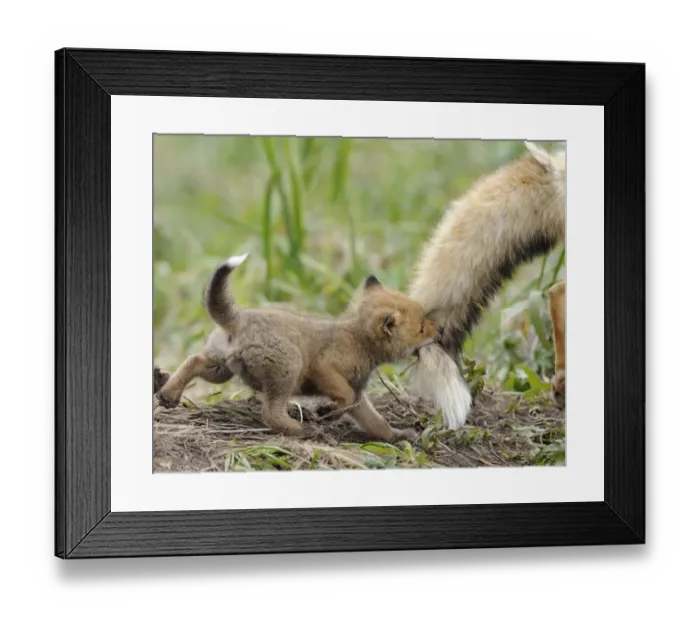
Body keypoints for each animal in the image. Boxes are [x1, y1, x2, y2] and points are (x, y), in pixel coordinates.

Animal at [156, 254, 443, 442]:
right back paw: (302, 430)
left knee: (192, 360)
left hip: (220, 369)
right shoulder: (325, 368)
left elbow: (376, 422)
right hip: (288, 370)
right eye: (421, 328)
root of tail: (239, 318)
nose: (440, 329)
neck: (358, 340)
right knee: (270, 413)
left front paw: (398, 435)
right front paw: (326, 413)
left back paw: (168, 393)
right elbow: (344, 396)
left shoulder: (359, 397)